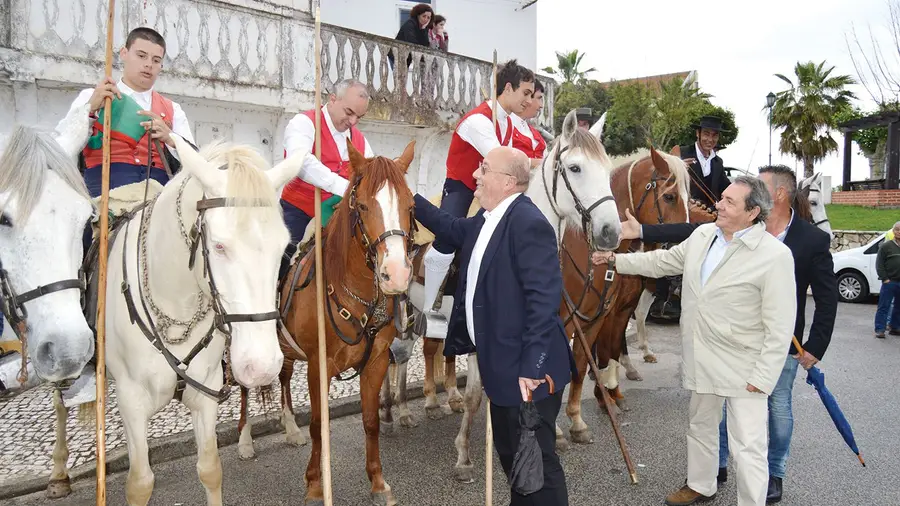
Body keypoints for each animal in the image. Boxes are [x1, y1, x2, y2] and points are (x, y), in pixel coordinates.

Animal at [99, 135, 302, 506]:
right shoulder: (131, 399)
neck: (177, 304)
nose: (262, 367)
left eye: (283, 248)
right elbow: (139, 484)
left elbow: (210, 468)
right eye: (219, 246)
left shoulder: (206, 391)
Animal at [239, 139, 422, 506]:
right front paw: (314, 484)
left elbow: (370, 420)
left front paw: (377, 481)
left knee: (283, 377)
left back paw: (289, 428)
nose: (395, 274)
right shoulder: (317, 365)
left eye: (410, 206)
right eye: (363, 206)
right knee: (242, 388)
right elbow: (318, 424)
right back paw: (246, 441)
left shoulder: (376, 361)